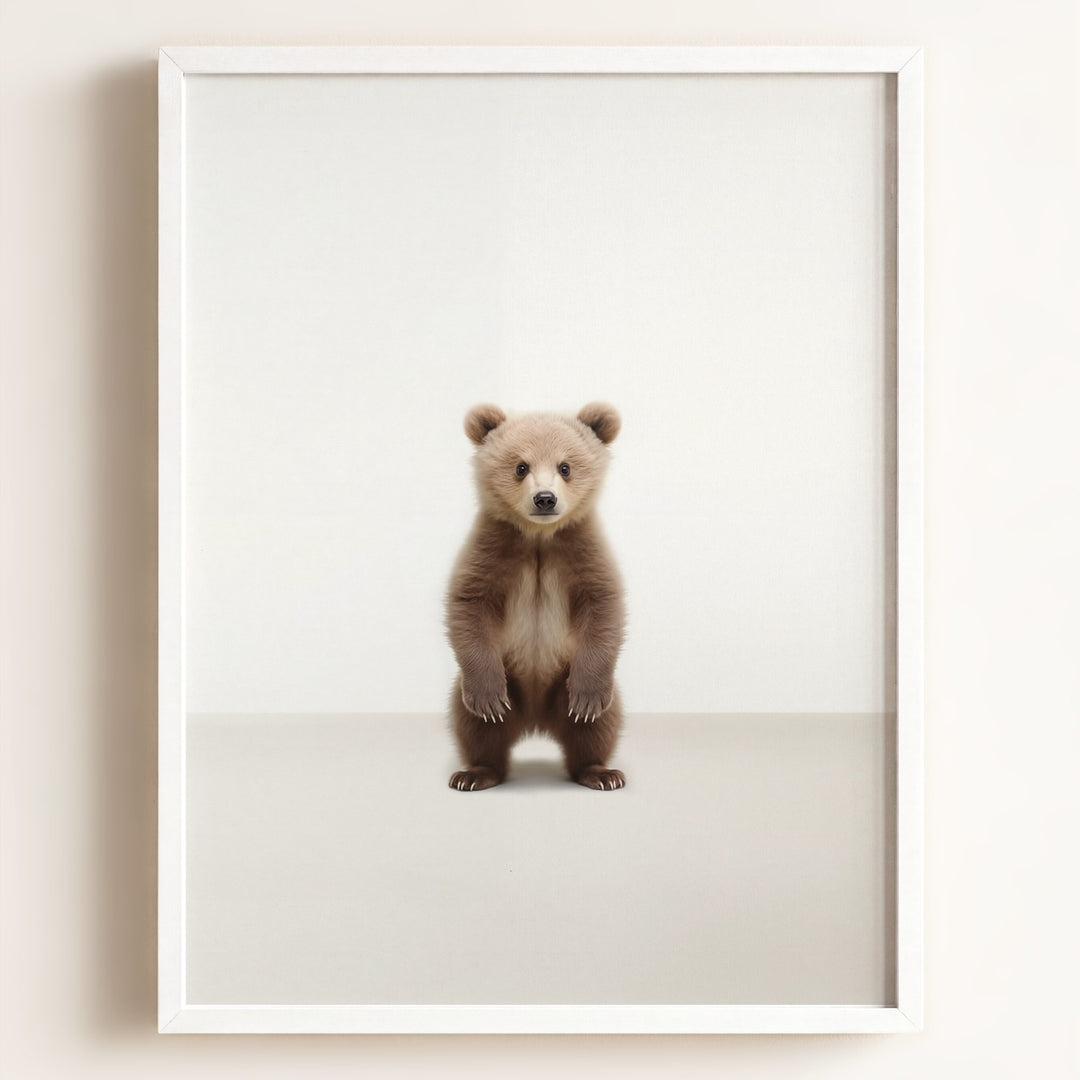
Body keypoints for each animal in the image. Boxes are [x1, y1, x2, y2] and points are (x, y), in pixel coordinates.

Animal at [446, 402, 627, 792]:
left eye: (565, 466)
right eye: (520, 466)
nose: (545, 499)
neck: (539, 537)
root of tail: (535, 722)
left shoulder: (581, 548)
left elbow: (603, 606)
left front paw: (588, 700)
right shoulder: (492, 548)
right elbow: (469, 605)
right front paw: (487, 699)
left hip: (564, 682)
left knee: (598, 726)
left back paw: (600, 772)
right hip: (507, 681)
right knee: (474, 725)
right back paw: (475, 773)